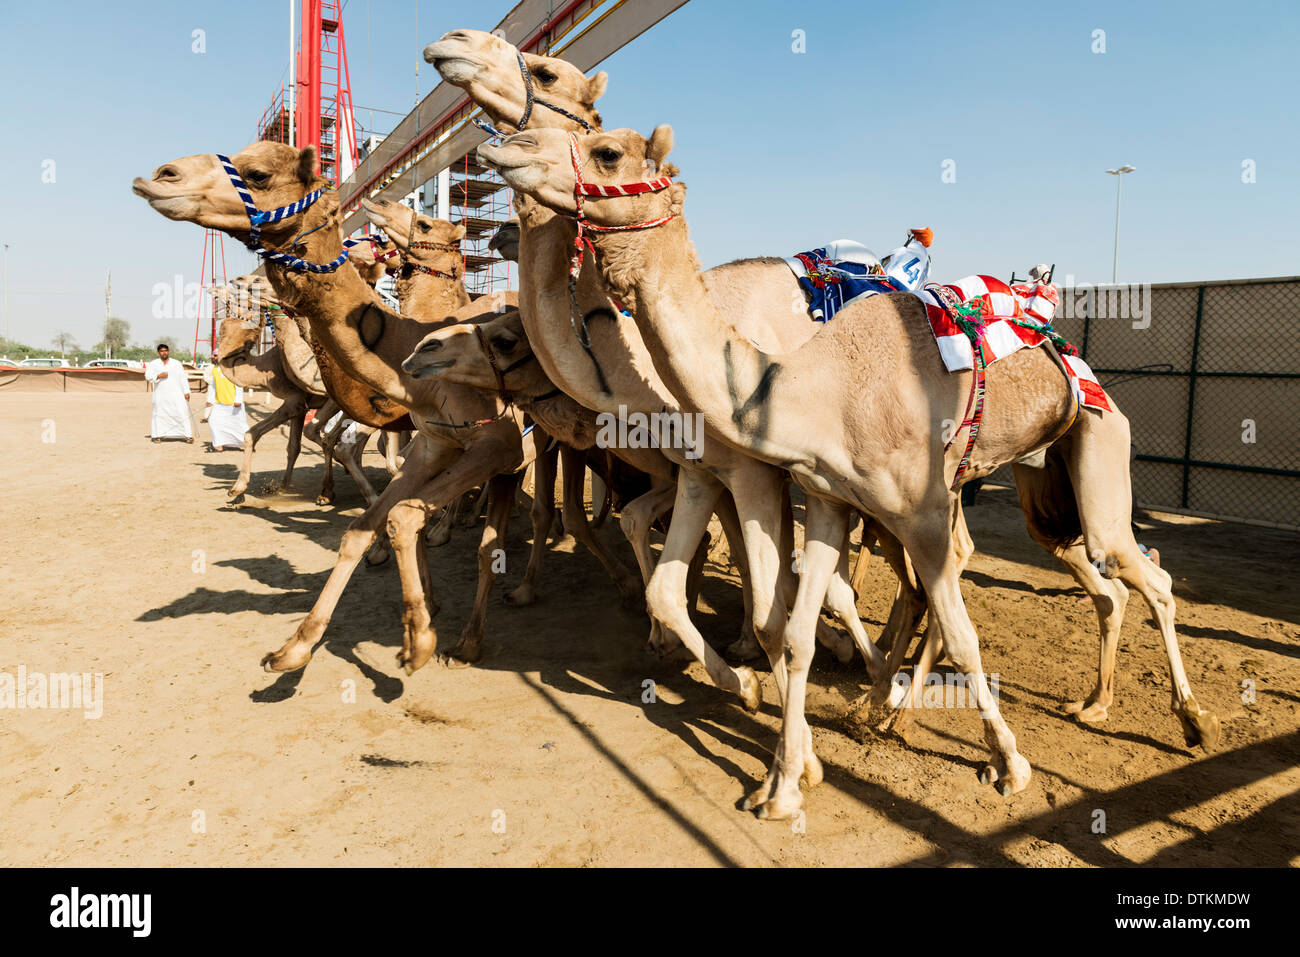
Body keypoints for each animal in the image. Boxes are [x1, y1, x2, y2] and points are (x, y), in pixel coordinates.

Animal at [491, 123, 1222, 816]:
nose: (510, 146)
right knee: (1105, 578)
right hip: (1043, 483)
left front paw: (1009, 765)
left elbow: (960, 634)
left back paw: (1191, 721)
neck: (812, 388)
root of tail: (1076, 357)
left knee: (1146, 573)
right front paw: (782, 784)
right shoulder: (825, 500)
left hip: (1097, 449)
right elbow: (792, 631)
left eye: (607, 151)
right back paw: (1081, 702)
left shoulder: (912, 510)